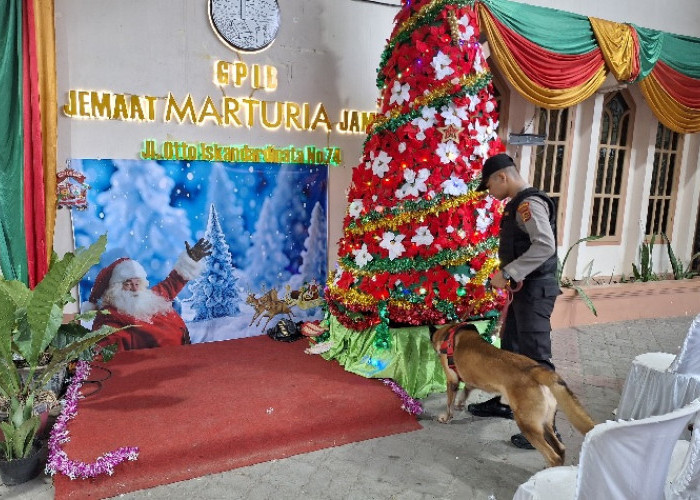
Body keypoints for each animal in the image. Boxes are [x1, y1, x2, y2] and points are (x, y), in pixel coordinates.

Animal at [432, 322, 596, 466]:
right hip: (545, 423)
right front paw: (460, 404)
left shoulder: (451, 381)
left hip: (527, 424)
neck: (453, 333)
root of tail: (536, 371)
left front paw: (446, 418)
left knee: (552, 456)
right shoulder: (470, 380)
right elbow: (466, 391)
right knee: (560, 448)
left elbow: (449, 404)